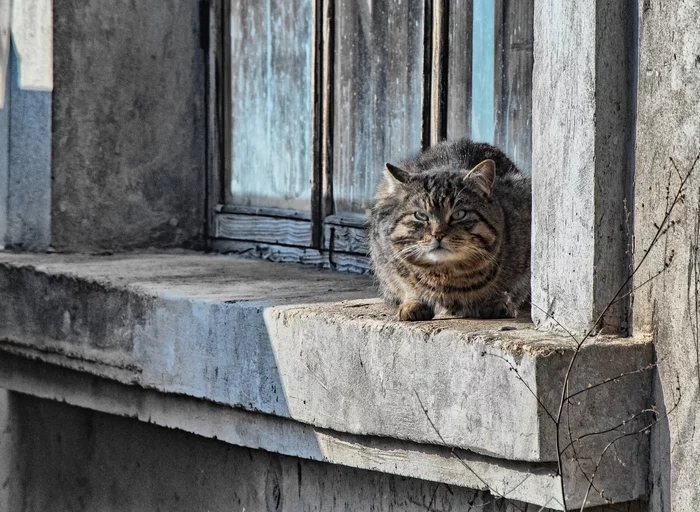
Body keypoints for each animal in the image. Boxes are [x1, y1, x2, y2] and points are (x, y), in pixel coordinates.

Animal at [366, 136, 532, 320]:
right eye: (421, 215)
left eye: (459, 214)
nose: (438, 234)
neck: (447, 276)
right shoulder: (385, 255)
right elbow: (405, 283)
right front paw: (413, 302)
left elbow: (513, 287)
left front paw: (497, 301)